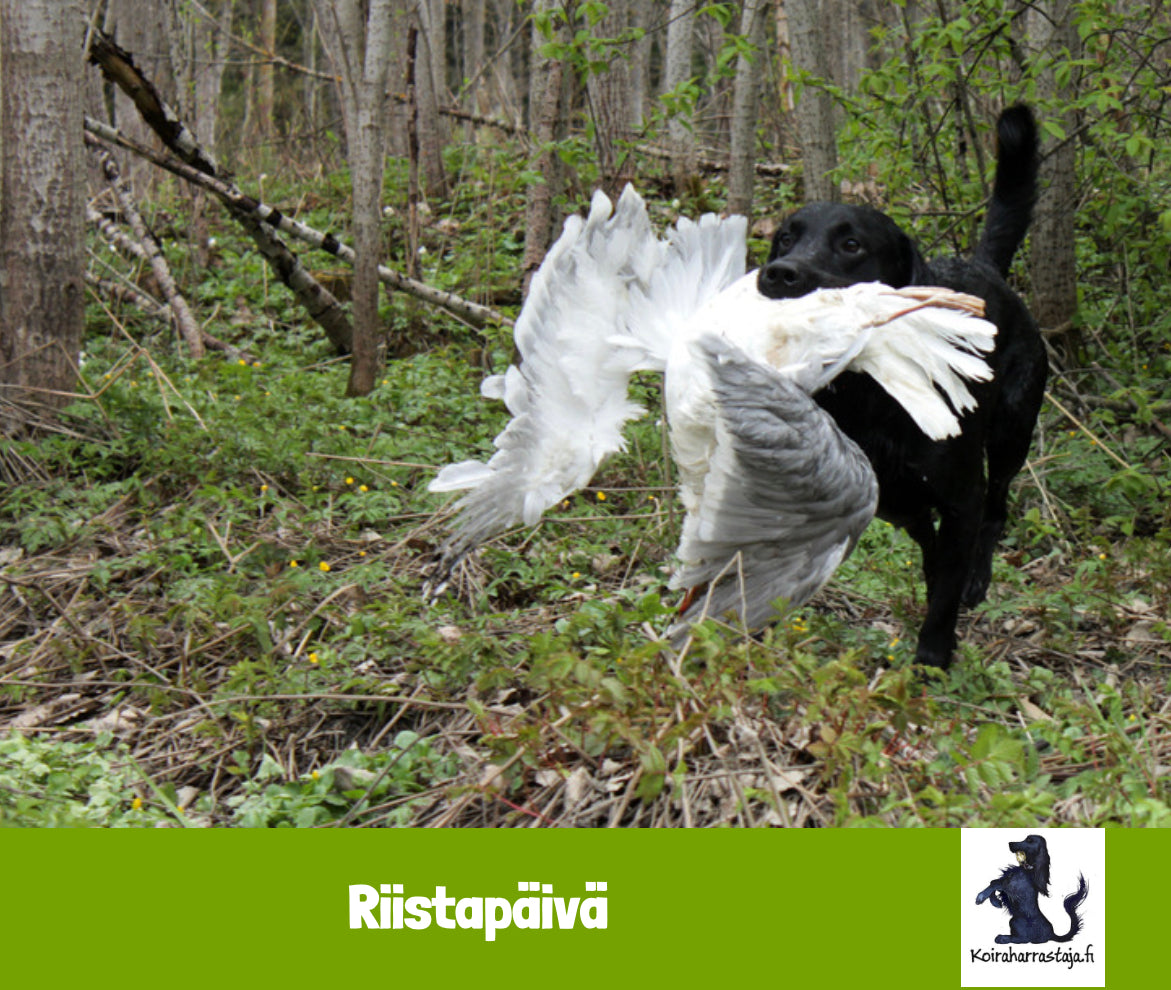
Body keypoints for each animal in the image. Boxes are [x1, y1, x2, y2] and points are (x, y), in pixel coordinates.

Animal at [756, 105, 1047, 668]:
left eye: (852, 244)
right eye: (785, 238)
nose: (778, 274)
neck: (869, 397)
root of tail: (983, 267)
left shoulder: (960, 499)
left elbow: (947, 590)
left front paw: (932, 658)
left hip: (1011, 434)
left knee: (996, 509)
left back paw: (976, 577)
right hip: (896, 499)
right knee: (930, 542)